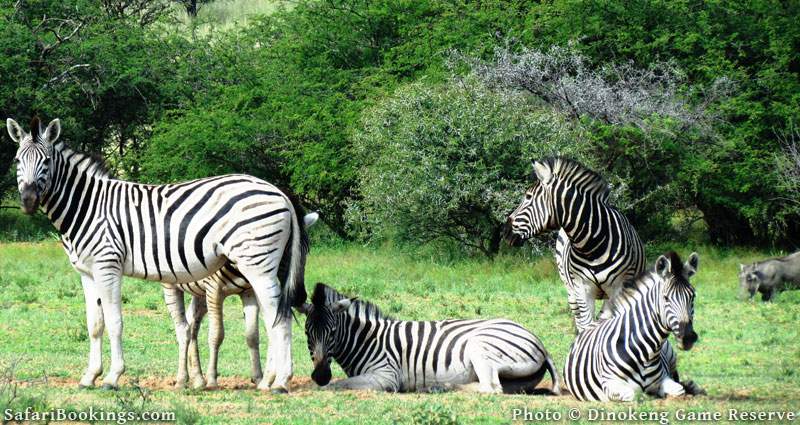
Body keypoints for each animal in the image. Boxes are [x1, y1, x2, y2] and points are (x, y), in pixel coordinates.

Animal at [6, 117, 306, 390]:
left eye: (46, 161)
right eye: (18, 161)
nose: (28, 201)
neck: (87, 205)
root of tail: (278, 191)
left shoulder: (107, 265)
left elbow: (114, 322)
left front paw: (112, 377)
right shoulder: (87, 272)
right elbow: (94, 324)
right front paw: (90, 377)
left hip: (257, 263)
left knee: (280, 318)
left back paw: (281, 382)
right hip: (265, 265)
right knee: (274, 317)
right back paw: (267, 380)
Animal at [296, 282, 560, 394]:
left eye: (332, 333)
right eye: (308, 333)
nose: (320, 375)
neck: (366, 340)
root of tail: (540, 343)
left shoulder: (386, 375)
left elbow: (339, 384)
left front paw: (326, 384)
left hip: (479, 346)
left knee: (491, 388)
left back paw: (439, 387)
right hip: (516, 378)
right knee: (500, 388)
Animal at [504, 157, 648, 332]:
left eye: (528, 196)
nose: (505, 232)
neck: (592, 245)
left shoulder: (617, 289)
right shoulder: (582, 289)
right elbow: (587, 327)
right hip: (570, 292)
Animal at [564, 252, 704, 400]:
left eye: (692, 296)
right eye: (665, 298)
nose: (687, 337)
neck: (647, 354)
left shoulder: (664, 378)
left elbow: (679, 390)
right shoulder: (609, 384)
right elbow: (635, 394)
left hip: (670, 354)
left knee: (678, 378)